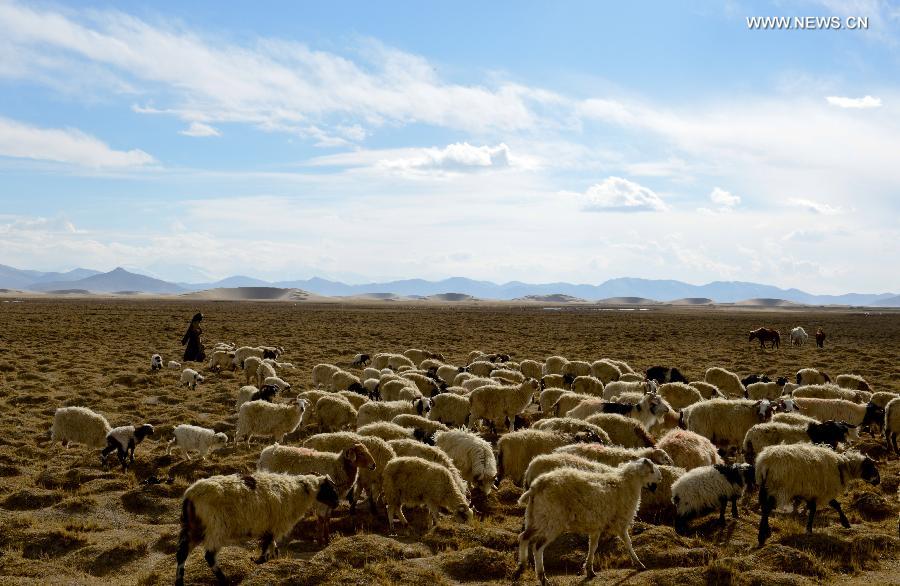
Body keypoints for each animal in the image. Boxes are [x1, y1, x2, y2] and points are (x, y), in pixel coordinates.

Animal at [174, 470, 340, 584]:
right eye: (330, 489)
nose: (337, 503)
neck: (299, 491)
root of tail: (190, 496)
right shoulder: (274, 525)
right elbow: (267, 546)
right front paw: (260, 561)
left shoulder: (270, 527)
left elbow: (272, 546)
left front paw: (269, 559)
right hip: (215, 527)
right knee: (209, 556)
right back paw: (225, 580)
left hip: (194, 528)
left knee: (182, 554)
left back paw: (179, 582)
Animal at [512, 460, 660, 580]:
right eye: (652, 470)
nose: (660, 478)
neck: (625, 483)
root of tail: (537, 485)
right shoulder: (621, 523)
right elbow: (628, 543)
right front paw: (639, 564)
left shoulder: (596, 526)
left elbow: (592, 547)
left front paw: (589, 570)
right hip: (552, 520)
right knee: (537, 546)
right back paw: (542, 578)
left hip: (536, 517)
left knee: (523, 537)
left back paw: (521, 566)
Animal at [756, 442, 884, 544]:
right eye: (870, 467)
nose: (878, 480)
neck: (842, 467)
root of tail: (765, 463)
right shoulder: (823, 491)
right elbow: (831, 506)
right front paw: (844, 523)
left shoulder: (812, 493)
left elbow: (821, 507)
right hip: (777, 487)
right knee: (767, 508)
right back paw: (762, 536)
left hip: (766, 487)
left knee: (764, 507)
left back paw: (765, 532)